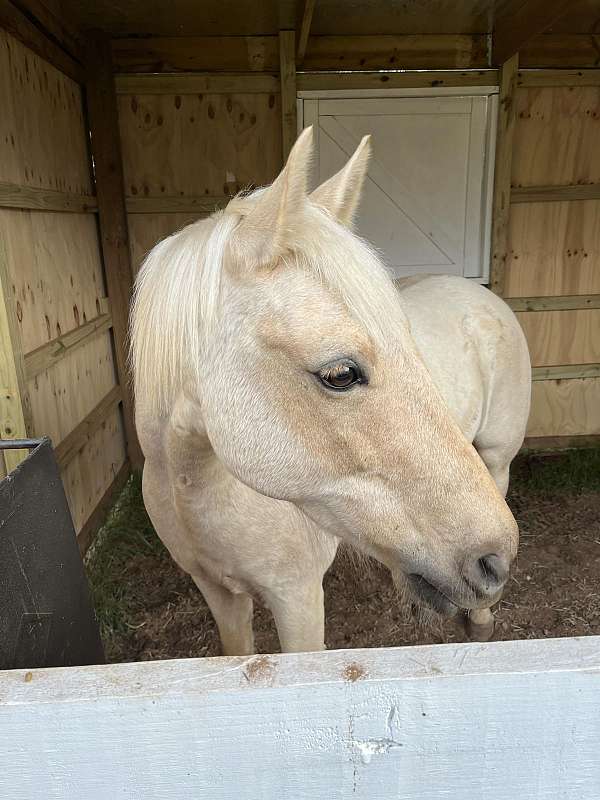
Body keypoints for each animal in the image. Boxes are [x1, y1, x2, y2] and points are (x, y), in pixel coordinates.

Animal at [131, 126, 528, 656]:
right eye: (340, 374)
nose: (493, 561)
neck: (197, 489)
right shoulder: (217, 593)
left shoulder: (297, 596)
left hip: (497, 459)